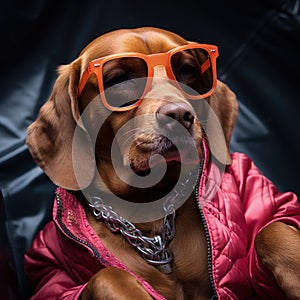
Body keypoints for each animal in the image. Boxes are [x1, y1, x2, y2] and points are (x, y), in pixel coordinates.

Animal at [25, 27, 300, 298]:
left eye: (187, 70)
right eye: (119, 79)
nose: (179, 115)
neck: (150, 211)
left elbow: (271, 229)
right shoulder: (52, 277)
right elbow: (108, 276)